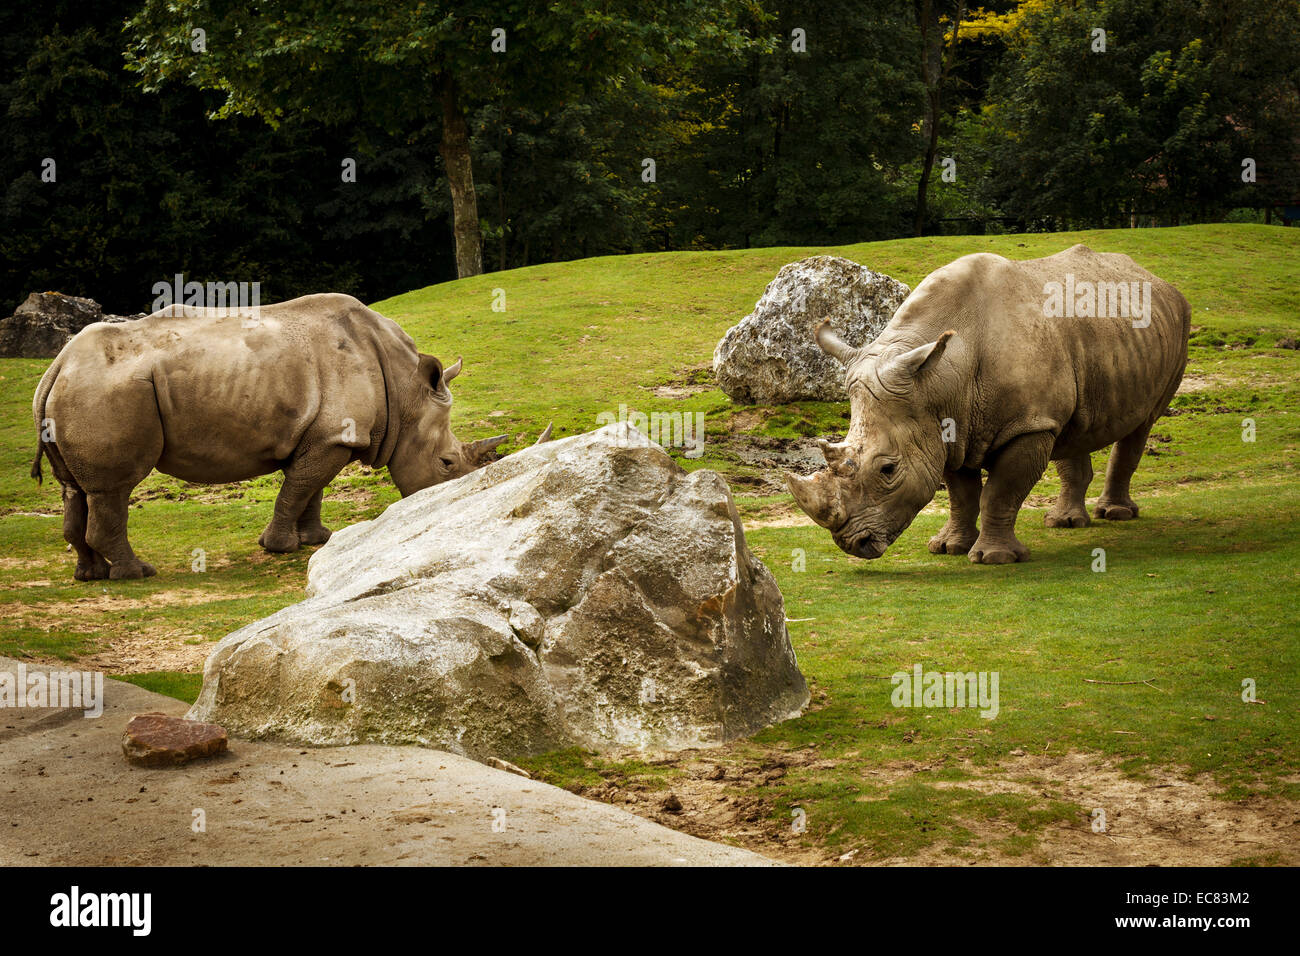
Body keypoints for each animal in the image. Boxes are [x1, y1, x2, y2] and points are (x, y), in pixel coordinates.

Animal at [31, 293, 547, 580]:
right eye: (446, 464)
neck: (405, 390)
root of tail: (57, 364)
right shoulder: (335, 436)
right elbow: (298, 487)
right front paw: (279, 547)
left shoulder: (329, 437)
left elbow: (310, 488)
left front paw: (316, 539)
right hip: (107, 391)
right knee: (114, 489)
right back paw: (136, 574)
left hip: (77, 392)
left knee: (74, 489)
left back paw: (90, 574)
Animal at [786, 245, 1190, 564]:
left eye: (888, 469)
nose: (853, 544)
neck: (937, 381)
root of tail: (1157, 280)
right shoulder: (945, 425)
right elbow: (961, 494)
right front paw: (948, 548)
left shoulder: (1025, 425)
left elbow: (999, 493)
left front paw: (994, 558)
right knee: (1072, 428)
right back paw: (1064, 523)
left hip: (1178, 325)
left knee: (1142, 424)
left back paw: (1115, 514)